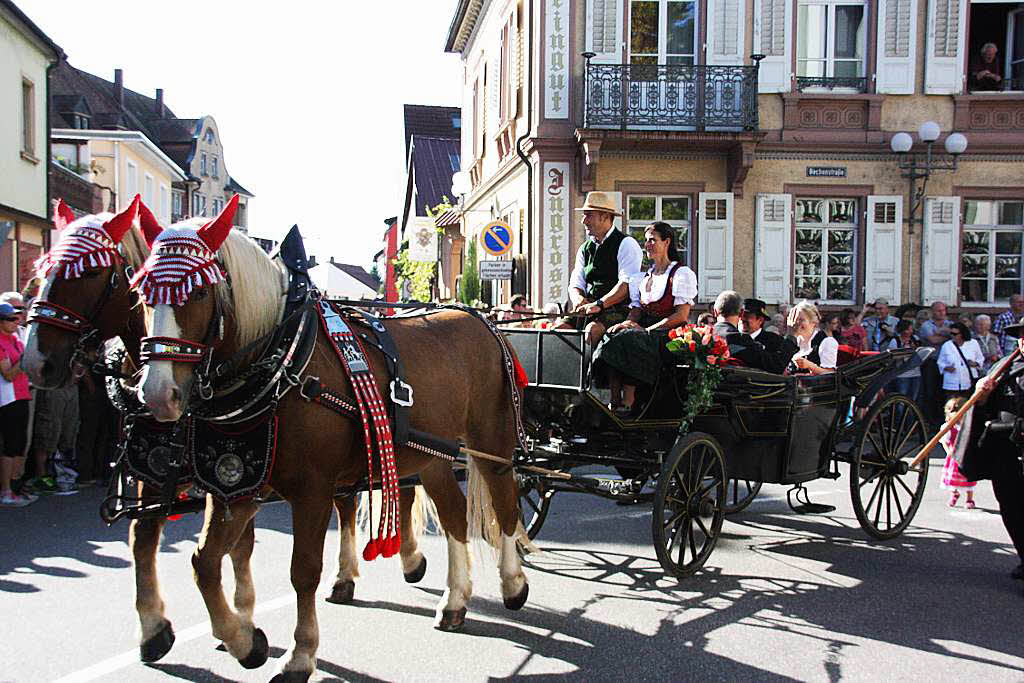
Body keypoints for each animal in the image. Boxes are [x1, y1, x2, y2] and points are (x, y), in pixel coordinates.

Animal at [134, 209, 528, 683]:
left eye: (196, 291)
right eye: (142, 292)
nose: (158, 395)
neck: (282, 360)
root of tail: (484, 321)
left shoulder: (312, 491)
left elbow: (303, 571)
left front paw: (300, 654)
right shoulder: (236, 486)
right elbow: (206, 563)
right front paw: (245, 641)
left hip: (492, 440)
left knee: (505, 502)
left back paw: (513, 582)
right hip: (432, 456)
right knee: (454, 515)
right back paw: (454, 601)